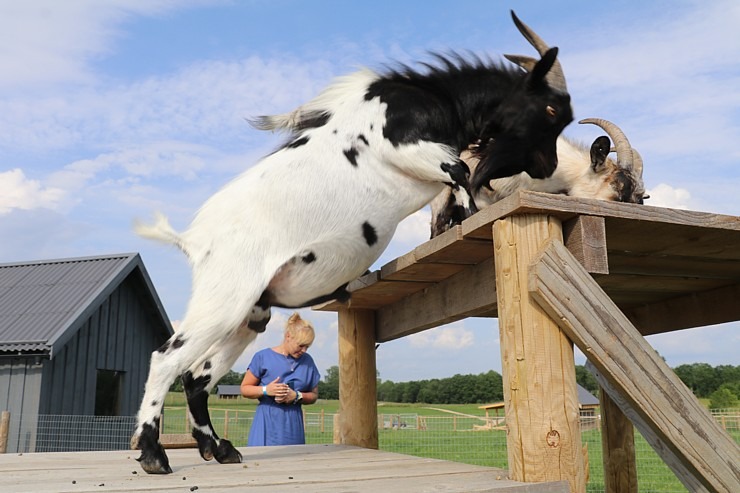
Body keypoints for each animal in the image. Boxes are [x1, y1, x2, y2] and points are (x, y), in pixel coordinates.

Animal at [132, 10, 572, 472]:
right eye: (550, 108)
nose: (548, 167)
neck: (434, 98)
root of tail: (193, 240)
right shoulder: (405, 147)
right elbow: (460, 172)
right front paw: (469, 221)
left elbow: (458, 182)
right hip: (224, 299)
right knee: (167, 360)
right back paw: (154, 454)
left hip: (249, 314)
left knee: (196, 377)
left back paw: (218, 449)